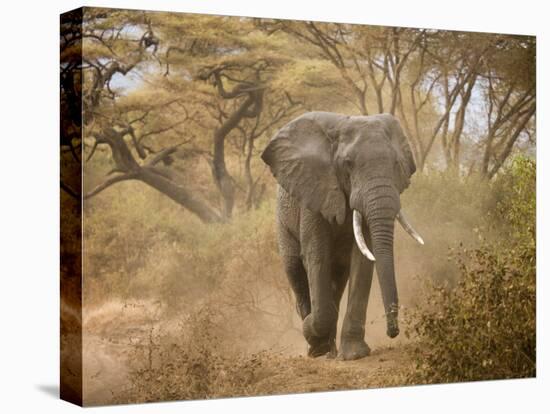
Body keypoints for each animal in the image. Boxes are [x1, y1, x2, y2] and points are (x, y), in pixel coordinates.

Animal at [264, 111, 426, 360]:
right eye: (348, 164)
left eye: (395, 163)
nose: (393, 332)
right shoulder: (315, 195)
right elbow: (317, 257)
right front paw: (313, 335)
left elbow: (363, 261)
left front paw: (354, 354)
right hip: (283, 223)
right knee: (296, 272)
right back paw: (316, 347)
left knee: (337, 280)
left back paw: (330, 350)